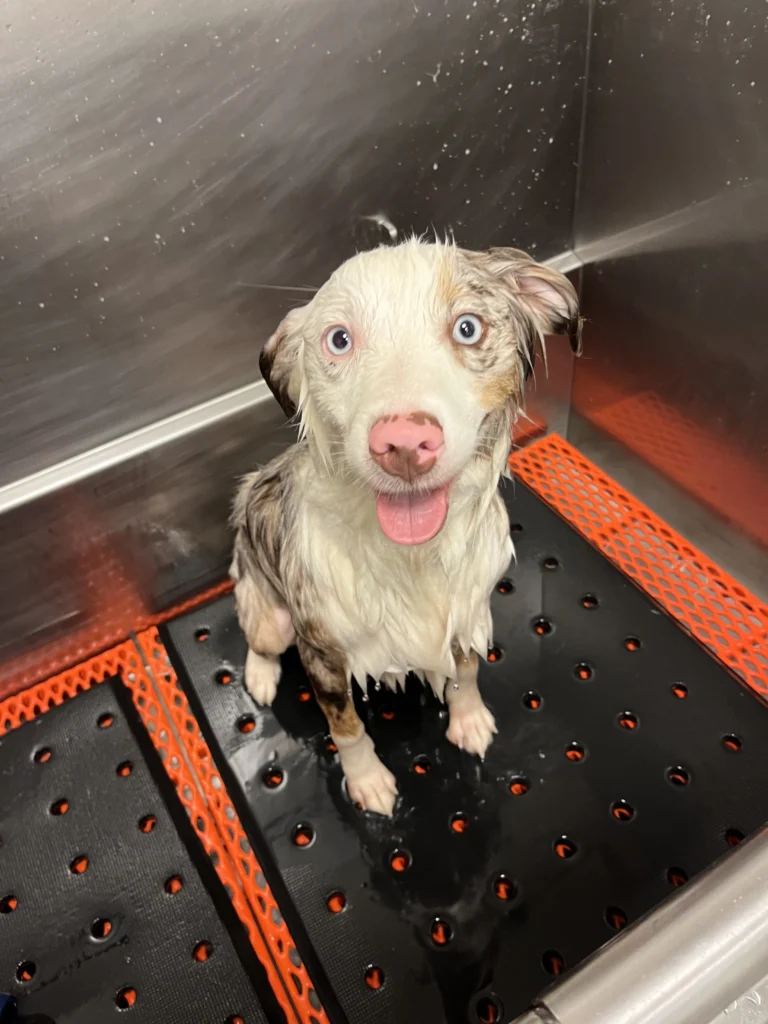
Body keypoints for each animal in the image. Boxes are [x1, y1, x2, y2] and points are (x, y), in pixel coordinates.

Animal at [231, 239, 581, 815]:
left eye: (468, 328)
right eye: (339, 339)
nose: (403, 444)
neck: (413, 559)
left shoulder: (466, 608)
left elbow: (465, 673)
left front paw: (469, 720)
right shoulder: (323, 653)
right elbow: (346, 728)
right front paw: (368, 780)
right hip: (271, 614)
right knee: (258, 641)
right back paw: (260, 675)